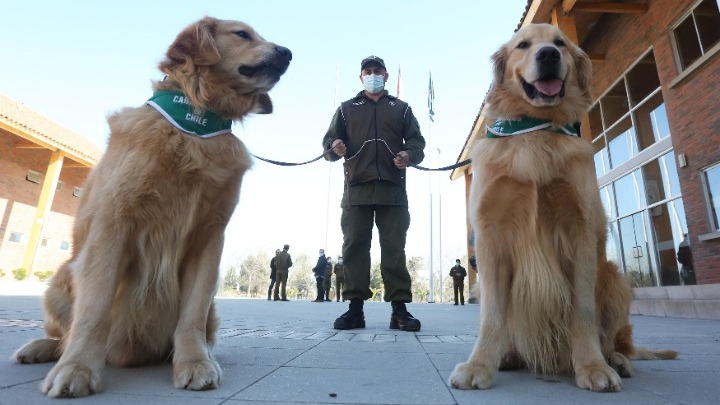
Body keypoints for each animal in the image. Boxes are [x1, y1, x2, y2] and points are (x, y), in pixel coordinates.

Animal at [14, 17, 292, 396]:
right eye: (242, 34)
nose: (288, 53)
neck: (195, 122)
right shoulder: (112, 226)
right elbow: (94, 311)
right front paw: (76, 369)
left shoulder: (209, 237)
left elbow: (191, 315)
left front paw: (195, 363)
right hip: (60, 280)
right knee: (64, 333)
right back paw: (42, 348)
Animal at [450, 24, 676, 392]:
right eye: (523, 45)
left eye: (560, 43)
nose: (548, 55)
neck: (536, 128)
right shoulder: (491, 235)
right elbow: (491, 317)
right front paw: (479, 365)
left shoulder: (580, 230)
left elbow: (582, 313)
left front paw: (592, 367)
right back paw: (509, 355)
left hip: (615, 280)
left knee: (615, 338)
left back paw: (616, 359)